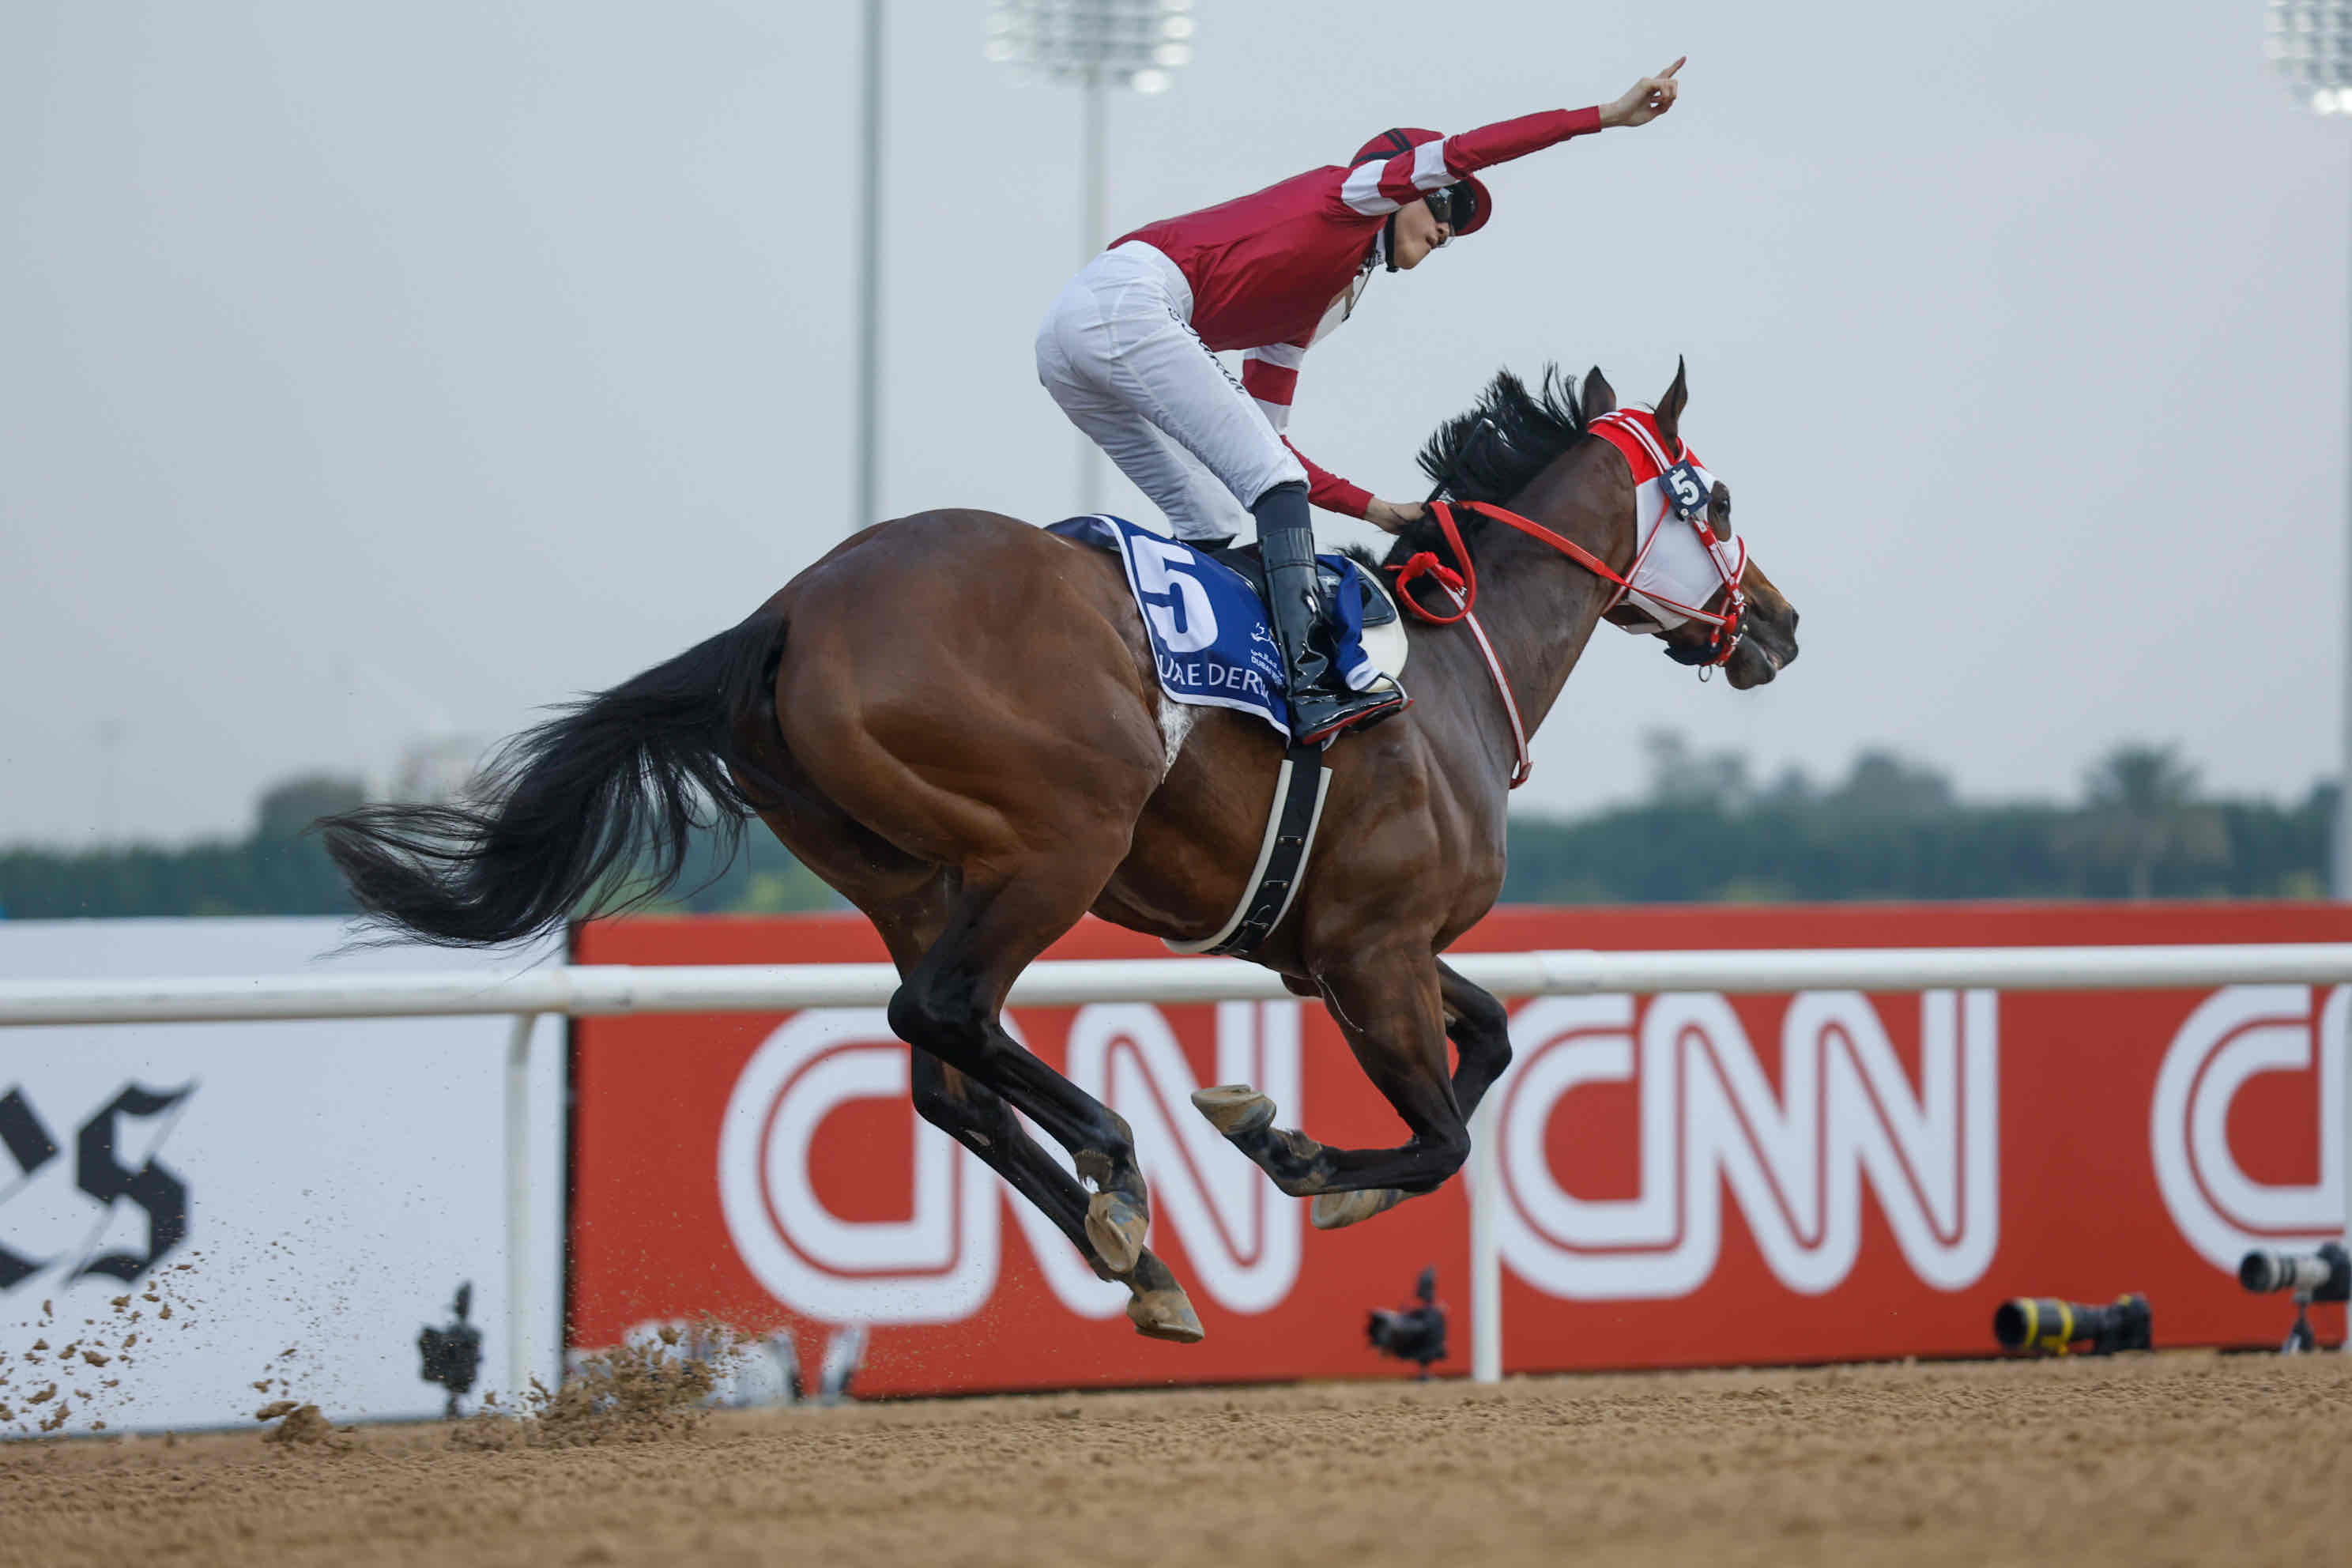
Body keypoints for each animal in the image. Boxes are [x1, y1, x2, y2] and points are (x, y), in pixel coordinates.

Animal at [321, 360, 1800, 1344]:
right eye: (1717, 496)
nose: (1780, 625)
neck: (1444, 676)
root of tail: (788, 611)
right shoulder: (1372, 949)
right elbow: (1439, 1136)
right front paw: (1285, 1149)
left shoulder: (1343, 947)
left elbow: (1488, 1040)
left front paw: (1284, 1152)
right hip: (1060, 840)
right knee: (948, 1016)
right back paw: (1120, 1169)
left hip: (911, 874)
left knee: (947, 1073)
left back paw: (1136, 1253)